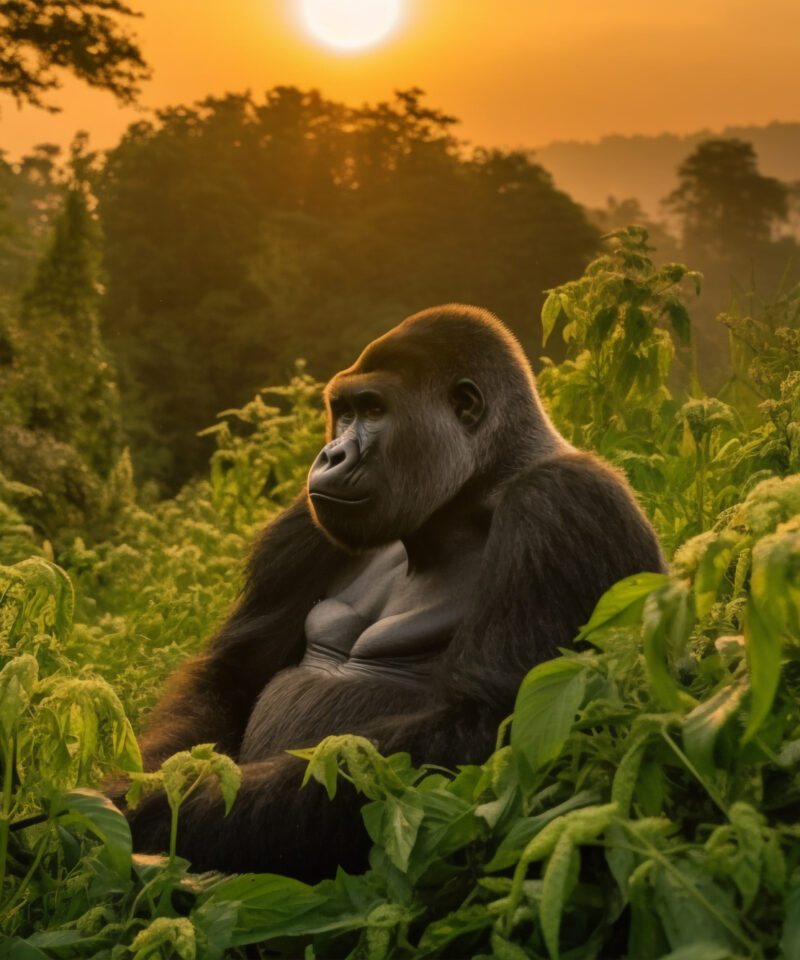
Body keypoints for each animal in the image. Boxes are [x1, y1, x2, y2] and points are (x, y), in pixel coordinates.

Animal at [128, 306, 664, 876]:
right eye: (343, 412)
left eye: (374, 409)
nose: (331, 455)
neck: (483, 481)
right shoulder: (303, 522)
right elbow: (231, 675)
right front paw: (147, 787)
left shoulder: (560, 505)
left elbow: (489, 731)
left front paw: (165, 812)